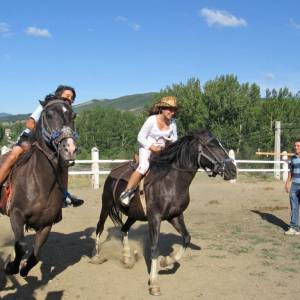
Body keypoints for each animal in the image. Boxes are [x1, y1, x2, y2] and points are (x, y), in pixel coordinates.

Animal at [1, 99, 76, 278]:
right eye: (48, 115)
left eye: (74, 115)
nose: (69, 148)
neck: (40, 183)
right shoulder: (16, 214)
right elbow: (20, 246)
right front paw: (10, 267)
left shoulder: (46, 224)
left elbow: (35, 255)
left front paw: (24, 270)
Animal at [94, 129, 237, 296]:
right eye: (211, 145)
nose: (233, 171)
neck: (170, 182)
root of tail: (113, 172)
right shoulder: (155, 218)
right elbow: (154, 248)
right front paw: (154, 283)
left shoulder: (175, 216)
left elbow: (186, 238)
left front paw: (166, 261)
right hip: (106, 205)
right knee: (99, 227)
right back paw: (96, 257)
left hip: (133, 215)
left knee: (124, 229)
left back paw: (127, 258)